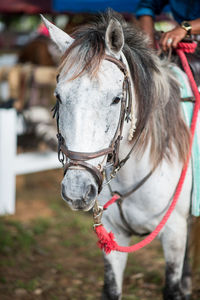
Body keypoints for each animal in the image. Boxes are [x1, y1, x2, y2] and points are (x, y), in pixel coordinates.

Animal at [41, 11, 198, 300]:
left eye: (116, 99)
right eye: (59, 96)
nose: (77, 190)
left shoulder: (173, 233)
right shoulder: (114, 236)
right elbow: (112, 289)